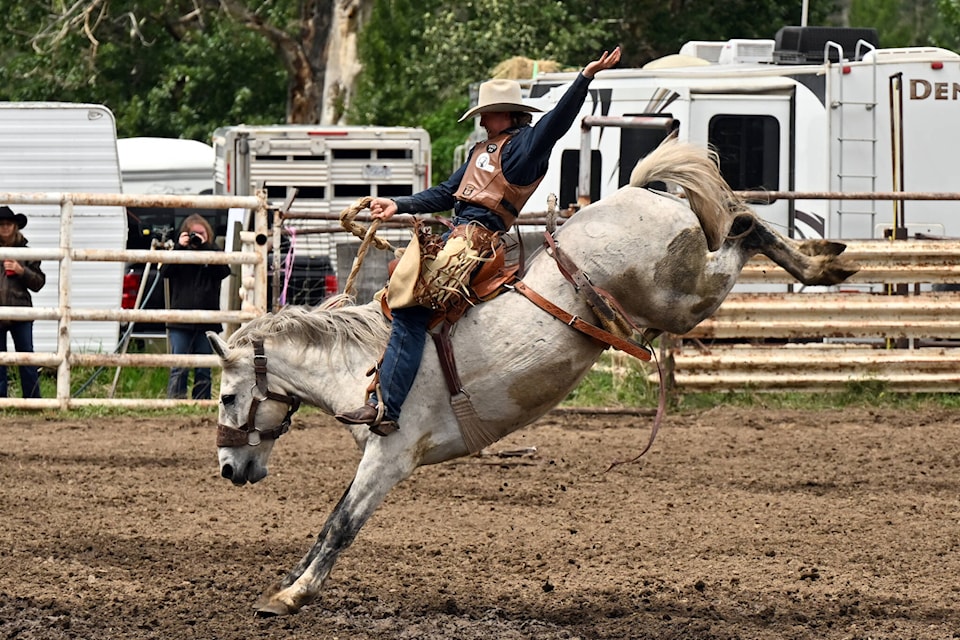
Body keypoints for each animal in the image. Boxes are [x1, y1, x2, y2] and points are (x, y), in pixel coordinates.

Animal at [208, 139, 856, 616]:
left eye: (227, 395)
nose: (228, 470)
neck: (361, 362)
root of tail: (643, 192)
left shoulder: (390, 455)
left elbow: (341, 523)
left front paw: (292, 596)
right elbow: (331, 520)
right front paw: (288, 583)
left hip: (684, 298)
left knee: (744, 228)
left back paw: (821, 265)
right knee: (744, 223)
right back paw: (827, 258)